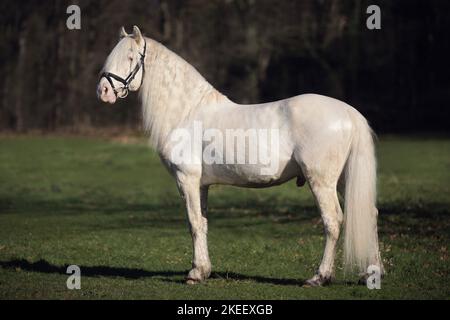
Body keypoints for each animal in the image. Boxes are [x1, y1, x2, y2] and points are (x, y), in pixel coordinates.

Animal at [96, 25, 382, 284]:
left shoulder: (186, 179)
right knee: (370, 214)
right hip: (344, 179)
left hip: (321, 181)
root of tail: (348, 112)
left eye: (130, 57)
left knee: (332, 221)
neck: (188, 111)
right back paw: (373, 273)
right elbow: (203, 222)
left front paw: (195, 274)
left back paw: (319, 277)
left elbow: (193, 223)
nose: (103, 92)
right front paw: (203, 270)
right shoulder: (201, 185)